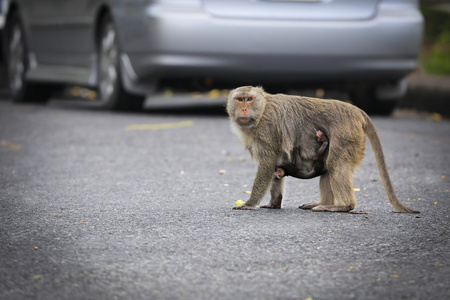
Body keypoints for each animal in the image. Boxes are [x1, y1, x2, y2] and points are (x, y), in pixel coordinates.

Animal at [227, 86, 420, 213]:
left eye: (249, 99)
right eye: (239, 99)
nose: (243, 109)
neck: (262, 110)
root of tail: (355, 110)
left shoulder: (267, 130)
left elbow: (267, 164)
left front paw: (249, 203)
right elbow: (277, 165)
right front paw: (274, 203)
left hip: (346, 136)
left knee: (335, 165)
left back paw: (344, 206)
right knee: (328, 168)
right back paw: (323, 202)